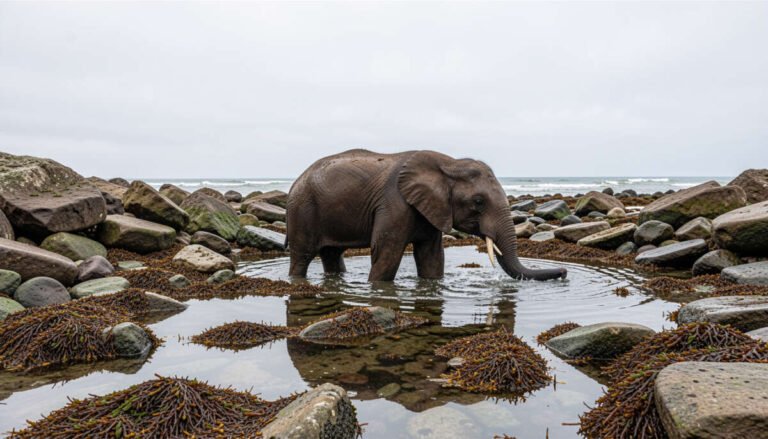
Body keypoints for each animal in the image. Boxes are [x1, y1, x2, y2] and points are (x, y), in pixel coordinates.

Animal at [286, 149, 567, 282]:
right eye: (478, 202)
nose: (564, 273)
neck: (449, 163)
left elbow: (431, 257)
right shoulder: (394, 203)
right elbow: (386, 252)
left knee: (332, 255)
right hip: (303, 210)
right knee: (302, 257)